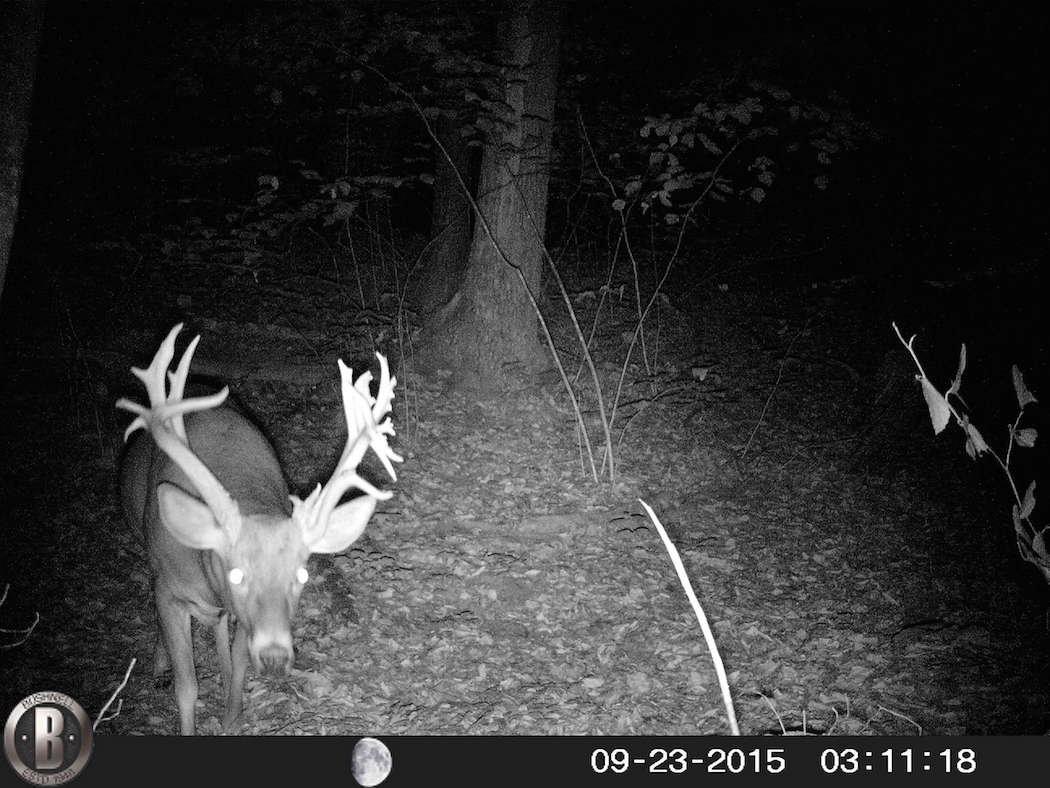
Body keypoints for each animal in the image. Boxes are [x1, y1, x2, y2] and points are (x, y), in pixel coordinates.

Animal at [117, 324, 401, 734]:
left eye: (301, 574)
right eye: (237, 573)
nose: (275, 656)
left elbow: (238, 667)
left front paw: (232, 718)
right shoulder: (170, 590)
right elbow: (187, 688)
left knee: (220, 628)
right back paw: (160, 667)